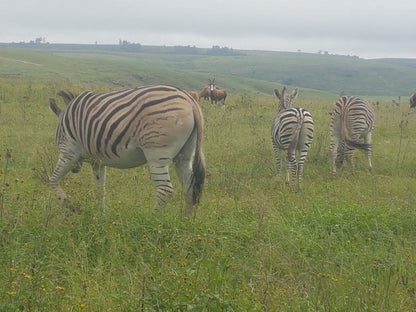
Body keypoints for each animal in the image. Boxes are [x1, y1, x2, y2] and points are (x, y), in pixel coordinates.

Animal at [48, 85, 205, 217]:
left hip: (157, 154)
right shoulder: (98, 162)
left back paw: (151, 220)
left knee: (164, 190)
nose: (75, 170)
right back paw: (185, 221)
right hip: (184, 155)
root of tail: (189, 100)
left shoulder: (68, 152)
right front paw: (101, 217)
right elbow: (100, 190)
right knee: (190, 188)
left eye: (58, 141)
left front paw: (71, 206)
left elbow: (53, 180)